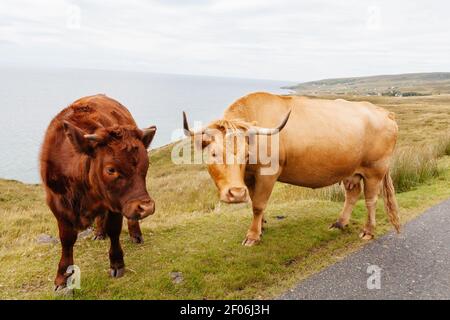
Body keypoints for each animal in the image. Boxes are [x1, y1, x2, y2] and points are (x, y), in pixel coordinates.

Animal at [40, 93, 156, 290]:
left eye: (146, 163)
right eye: (111, 169)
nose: (146, 207)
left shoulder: (116, 204)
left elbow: (114, 230)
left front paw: (117, 264)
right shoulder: (57, 204)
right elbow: (66, 239)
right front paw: (62, 276)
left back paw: (135, 234)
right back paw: (99, 233)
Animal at [183, 91, 400, 246]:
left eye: (245, 154)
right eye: (213, 153)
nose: (236, 194)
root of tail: (385, 113)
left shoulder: (268, 173)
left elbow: (258, 204)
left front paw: (253, 236)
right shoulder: (250, 177)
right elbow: (255, 201)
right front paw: (261, 226)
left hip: (375, 171)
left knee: (371, 200)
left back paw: (368, 231)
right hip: (351, 171)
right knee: (352, 195)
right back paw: (340, 223)